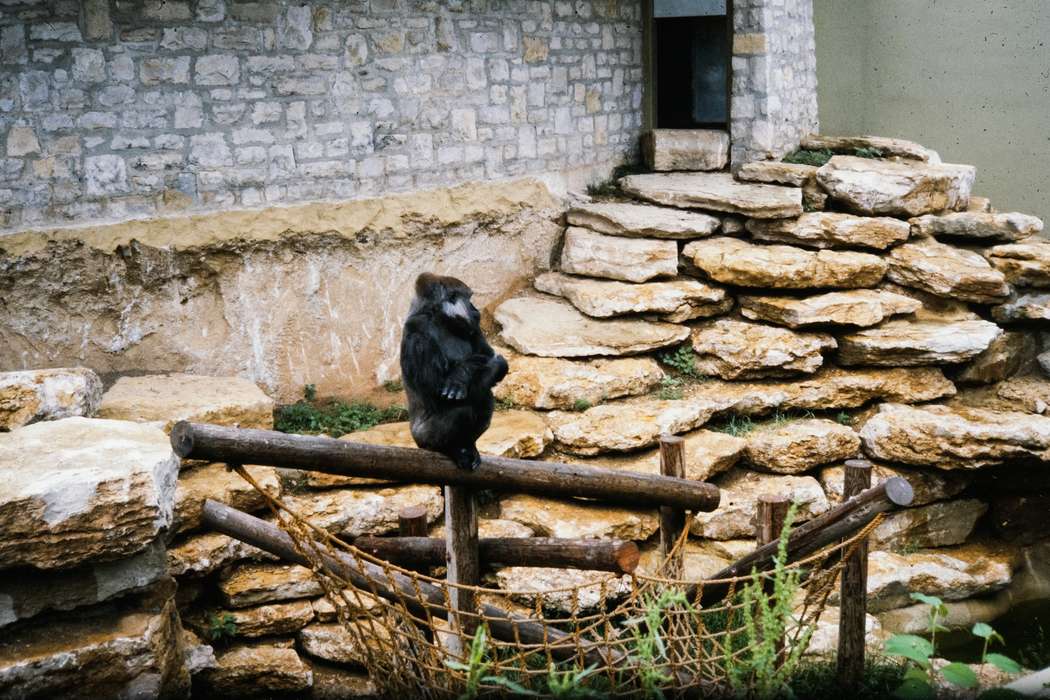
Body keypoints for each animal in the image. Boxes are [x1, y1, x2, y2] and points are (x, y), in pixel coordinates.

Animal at [399, 272, 509, 471]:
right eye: (469, 298)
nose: (474, 308)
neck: (438, 317)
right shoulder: (418, 332)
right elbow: (435, 392)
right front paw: (460, 376)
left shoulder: (473, 327)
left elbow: (488, 356)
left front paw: (462, 374)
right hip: (423, 440)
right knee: (468, 406)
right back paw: (448, 449)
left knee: (484, 397)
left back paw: (468, 446)